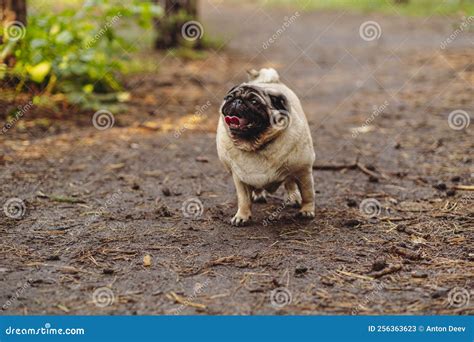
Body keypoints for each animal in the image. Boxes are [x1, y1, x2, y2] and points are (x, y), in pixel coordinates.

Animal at [218, 68, 314, 226]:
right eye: (229, 97)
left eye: (254, 101)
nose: (237, 101)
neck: (255, 144)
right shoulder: (240, 178)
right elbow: (243, 200)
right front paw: (242, 216)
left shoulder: (303, 171)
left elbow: (308, 194)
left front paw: (307, 210)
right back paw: (258, 194)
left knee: (290, 182)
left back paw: (294, 197)